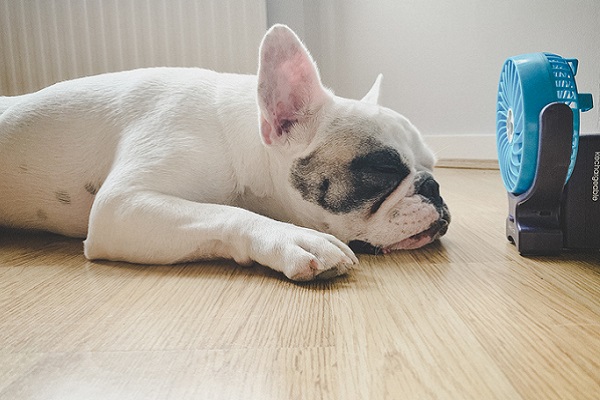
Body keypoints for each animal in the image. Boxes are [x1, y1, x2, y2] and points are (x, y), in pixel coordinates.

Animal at [0, 25, 450, 282]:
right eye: (382, 168)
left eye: (432, 164)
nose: (435, 187)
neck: (239, 140)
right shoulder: (120, 206)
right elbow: (225, 212)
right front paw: (294, 236)